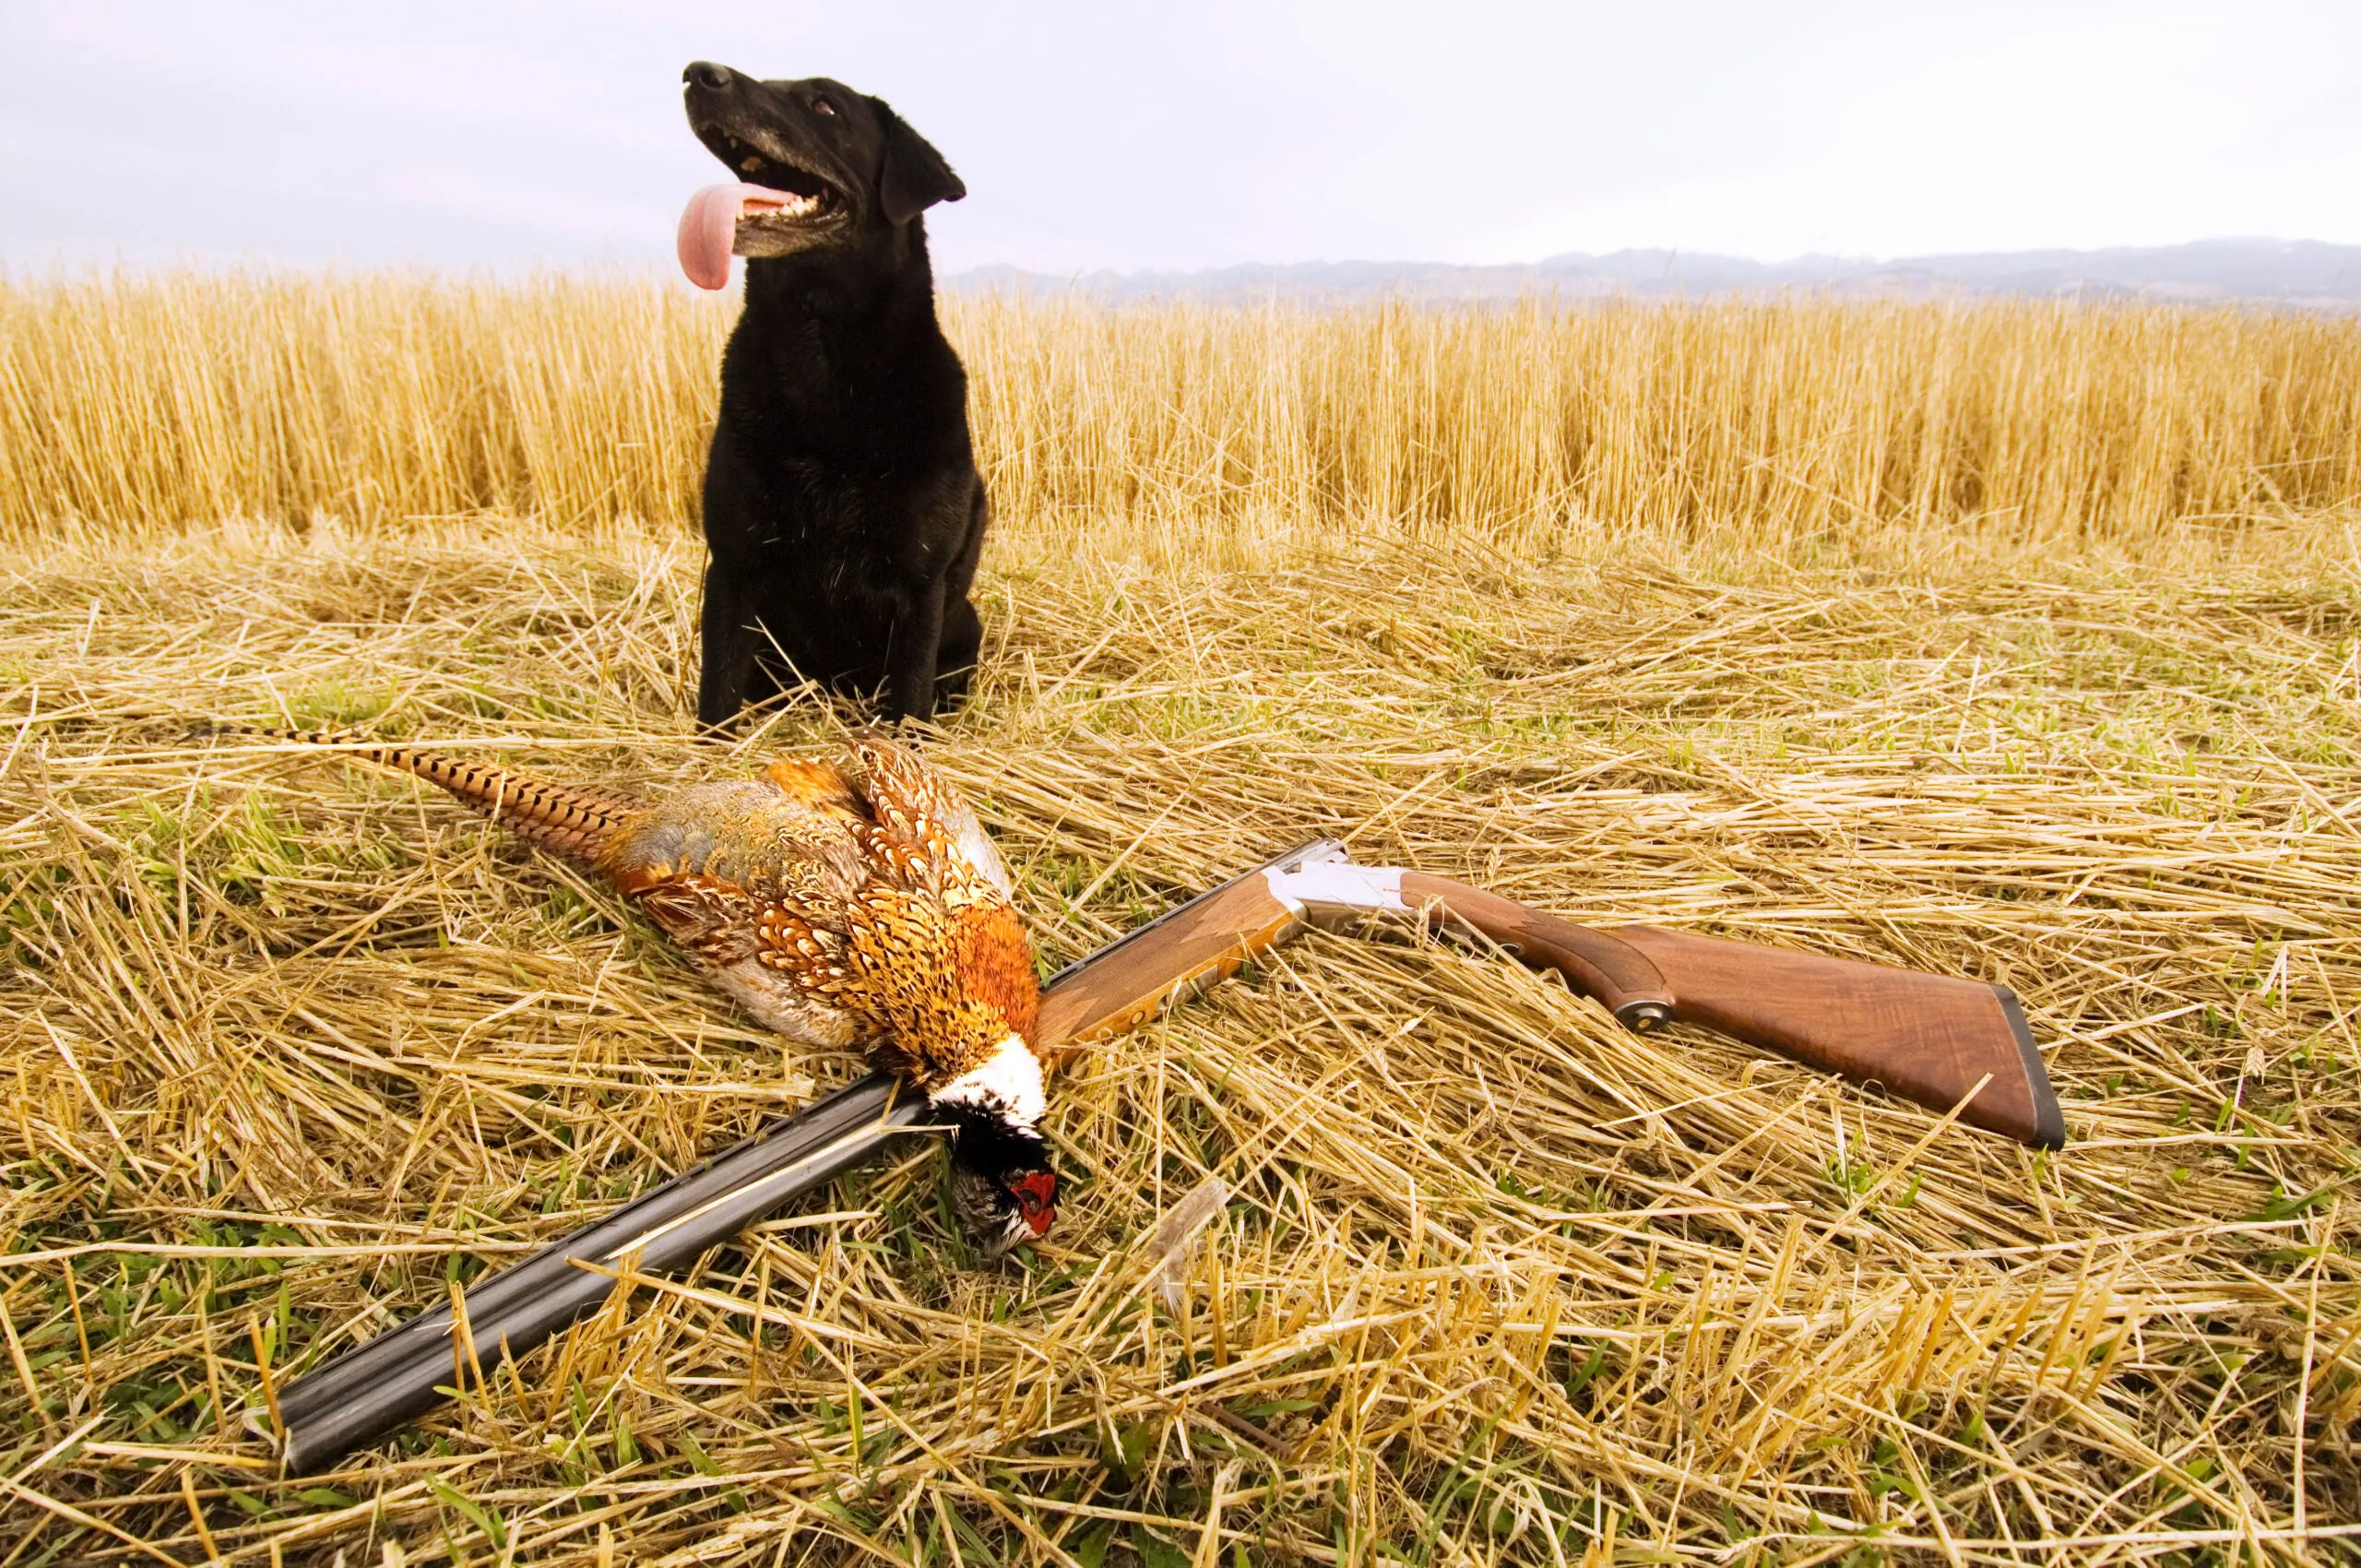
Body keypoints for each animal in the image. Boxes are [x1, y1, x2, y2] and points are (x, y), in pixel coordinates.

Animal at [680, 59, 981, 722]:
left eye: (824, 106)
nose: (697, 74)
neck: (819, 350)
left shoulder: (921, 587)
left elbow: (910, 700)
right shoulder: (732, 570)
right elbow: (718, 694)